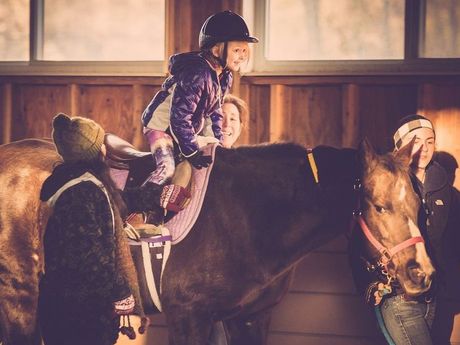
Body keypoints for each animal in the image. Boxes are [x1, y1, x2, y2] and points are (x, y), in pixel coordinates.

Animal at [0, 137, 432, 344]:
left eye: (418, 203)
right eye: (379, 207)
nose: (422, 273)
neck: (246, 213)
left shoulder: (250, 318)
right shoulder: (189, 317)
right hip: (20, 300)